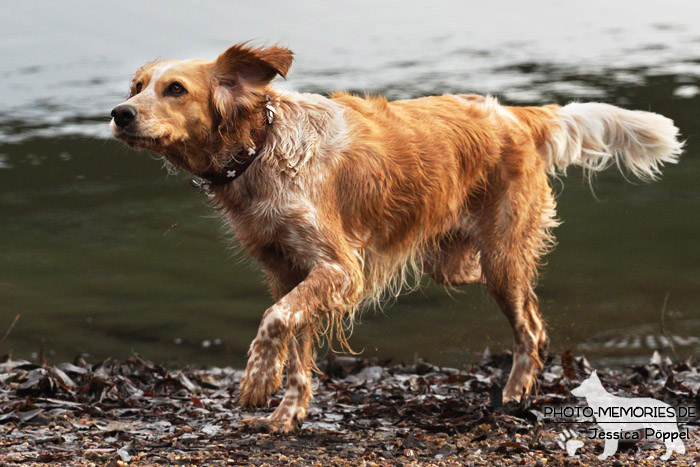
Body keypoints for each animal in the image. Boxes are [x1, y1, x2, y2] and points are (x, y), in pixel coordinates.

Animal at [110, 42, 684, 434]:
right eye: (136, 87)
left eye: (175, 89)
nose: (119, 114)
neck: (263, 147)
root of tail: (512, 113)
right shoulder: (289, 273)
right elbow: (293, 345)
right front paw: (286, 412)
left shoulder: (339, 269)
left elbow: (272, 322)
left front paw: (254, 382)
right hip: (456, 261)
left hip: (500, 257)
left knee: (532, 328)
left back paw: (514, 393)